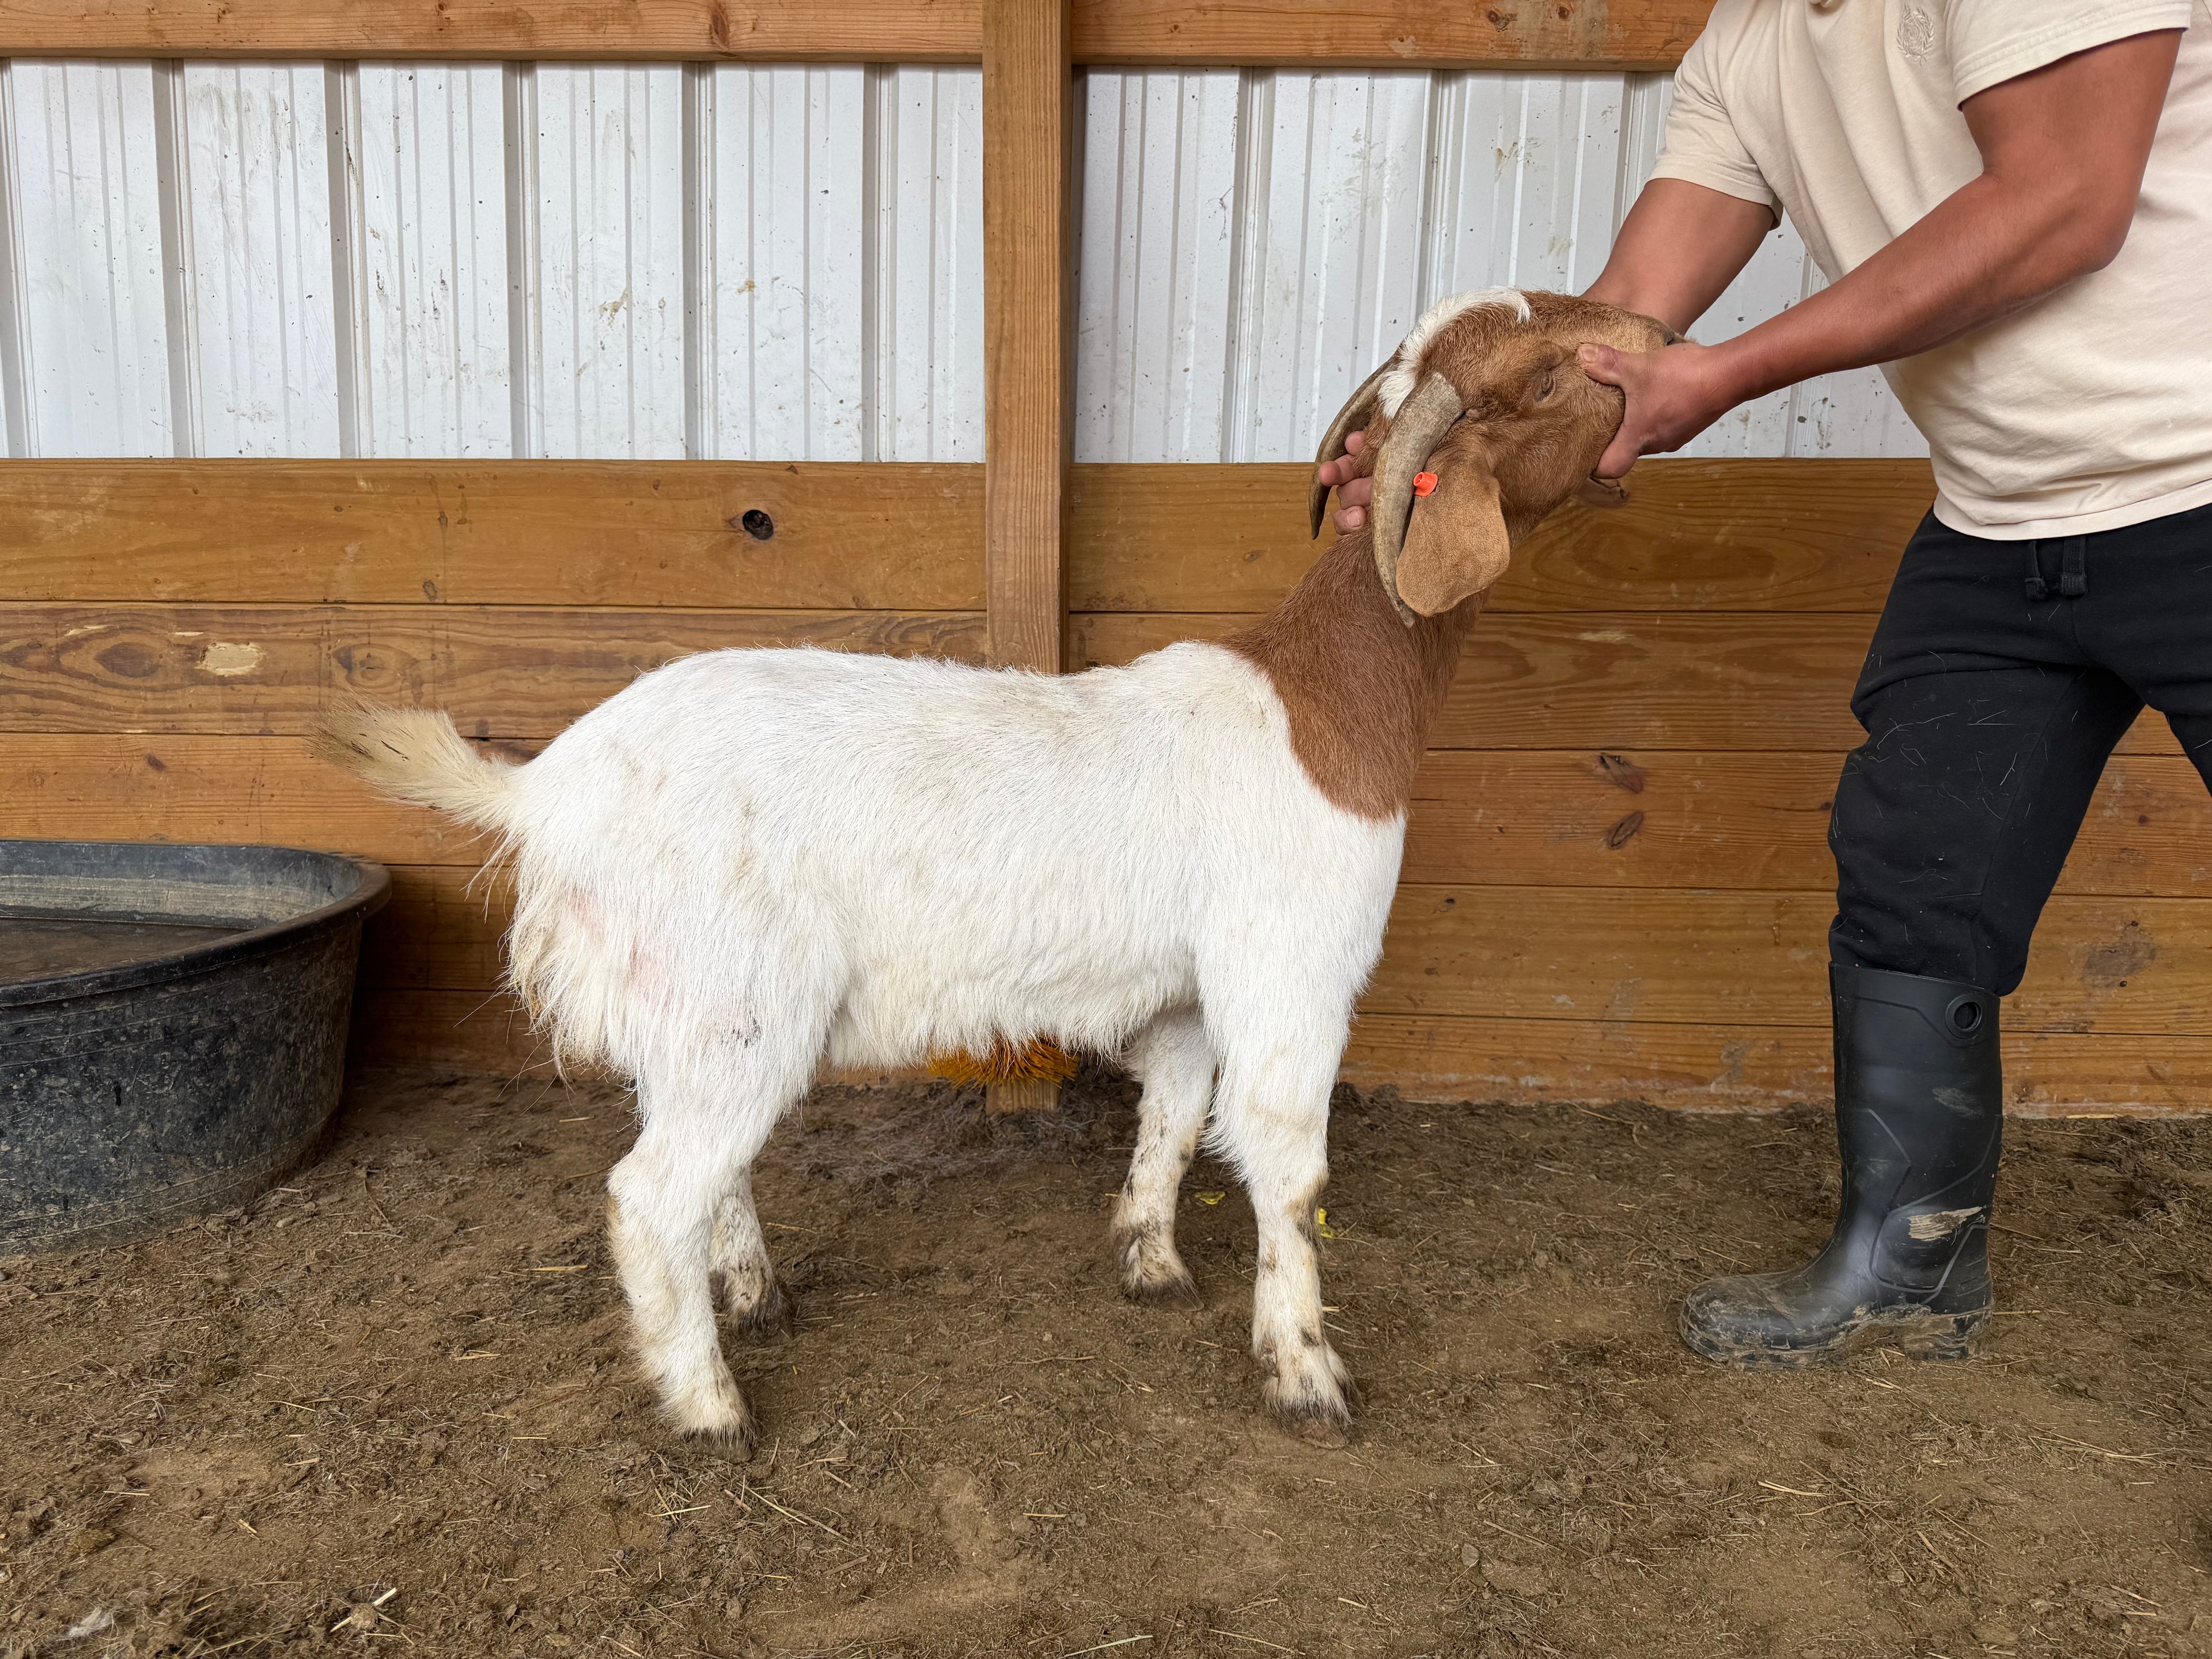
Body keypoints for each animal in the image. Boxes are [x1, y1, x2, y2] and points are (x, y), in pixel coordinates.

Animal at [315, 288, 1673, 1447]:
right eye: (1546, 375)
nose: (1660, 337)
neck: (1322, 707)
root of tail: (547, 787)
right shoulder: (1291, 969)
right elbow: (1290, 1171)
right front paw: (1305, 1375)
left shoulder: (1188, 987)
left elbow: (1174, 1117)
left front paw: (1150, 1260)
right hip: (735, 1001)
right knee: (651, 1195)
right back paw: (711, 1408)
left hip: (688, 1010)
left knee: (700, 1168)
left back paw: (754, 1294)